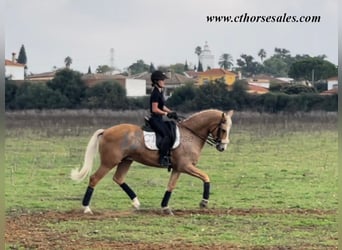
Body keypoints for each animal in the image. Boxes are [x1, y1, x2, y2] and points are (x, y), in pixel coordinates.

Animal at [71, 109, 234, 215]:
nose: (223, 147)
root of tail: (106, 131)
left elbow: (171, 186)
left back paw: (136, 203)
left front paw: (165, 208)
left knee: (118, 178)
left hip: (126, 161)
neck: (191, 134)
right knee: (94, 179)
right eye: (223, 129)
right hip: (109, 162)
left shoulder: (178, 168)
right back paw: (86, 208)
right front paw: (204, 202)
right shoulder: (186, 166)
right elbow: (206, 177)